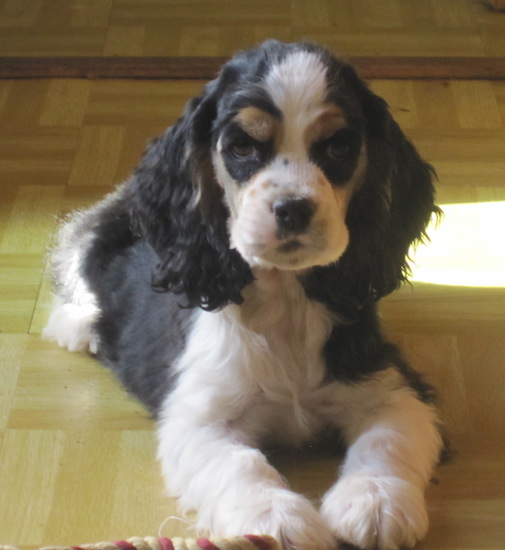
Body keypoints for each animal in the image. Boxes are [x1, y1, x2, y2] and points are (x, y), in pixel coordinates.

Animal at [45, 42, 442, 550]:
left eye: (338, 147)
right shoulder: (201, 417)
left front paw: (374, 502)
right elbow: (240, 464)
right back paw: (80, 326)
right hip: (103, 229)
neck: (286, 298)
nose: (293, 208)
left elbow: (386, 439)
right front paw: (277, 520)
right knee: (77, 251)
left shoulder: (391, 385)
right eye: (242, 147)